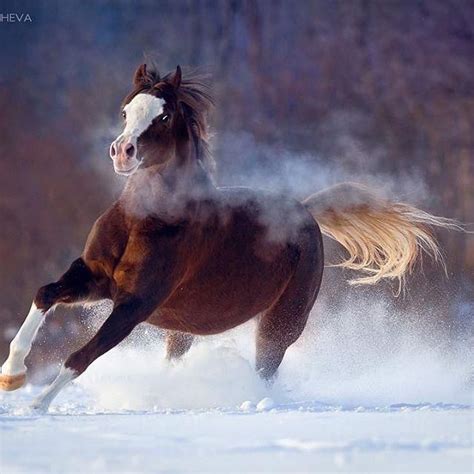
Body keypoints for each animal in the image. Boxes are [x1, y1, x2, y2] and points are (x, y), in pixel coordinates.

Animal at [0, 65, 460, 410]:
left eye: (163, 116)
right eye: (126, 110)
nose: (122, 152)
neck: (146, 218)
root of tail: (304, 212)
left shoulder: (135, 302)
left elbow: (81, 355)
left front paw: (36, 406)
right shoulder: (95, 278)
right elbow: (44, 294)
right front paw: (12, 376)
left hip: (281, 324)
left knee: (266, 371)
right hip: (183, 329)